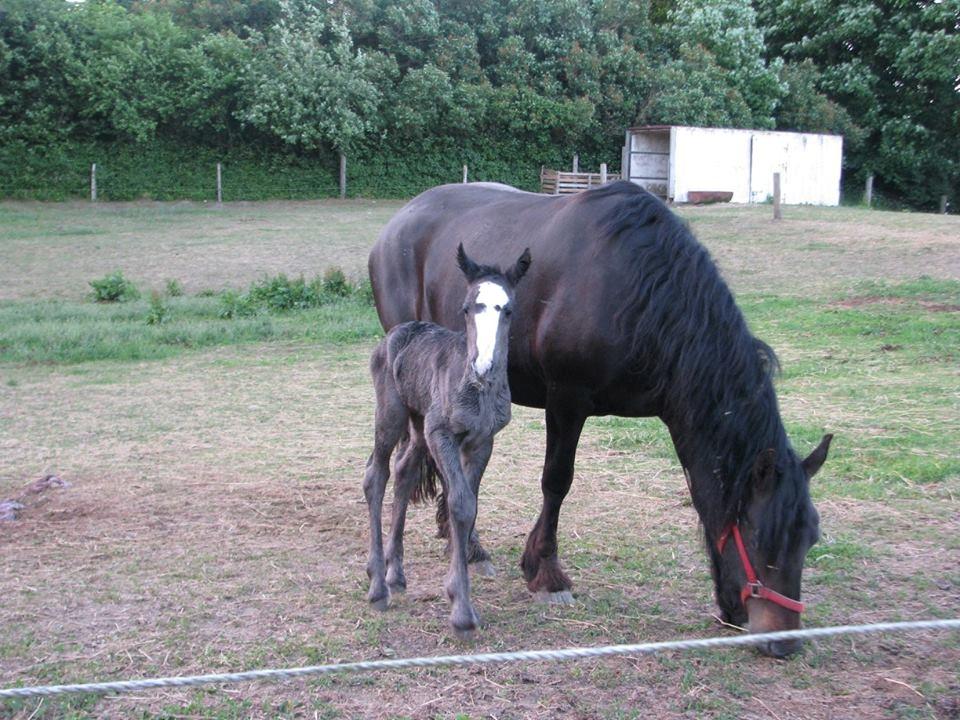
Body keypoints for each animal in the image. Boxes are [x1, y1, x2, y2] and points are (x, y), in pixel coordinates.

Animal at [370, 181, 832, 660]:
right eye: (759, 537)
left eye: (810, 538)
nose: (784, 642)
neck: (637, 293)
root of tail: (400, 221)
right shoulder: (567, 399)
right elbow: (557, 482)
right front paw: (546, 572)